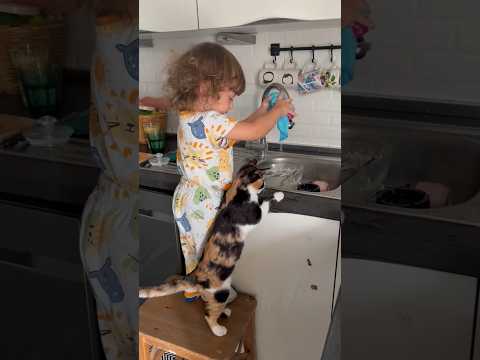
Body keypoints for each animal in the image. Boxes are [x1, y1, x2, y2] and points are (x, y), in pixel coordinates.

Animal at [139, 159, 284, 336]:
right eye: (261, 180)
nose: (266, 184)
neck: (237, 191)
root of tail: (194, 276)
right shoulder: (255, 215)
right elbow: (264, 205)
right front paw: (278, 195)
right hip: (221, 293)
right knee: (209, 315)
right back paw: (218, 329)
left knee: (209, 305)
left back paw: (225, 312)